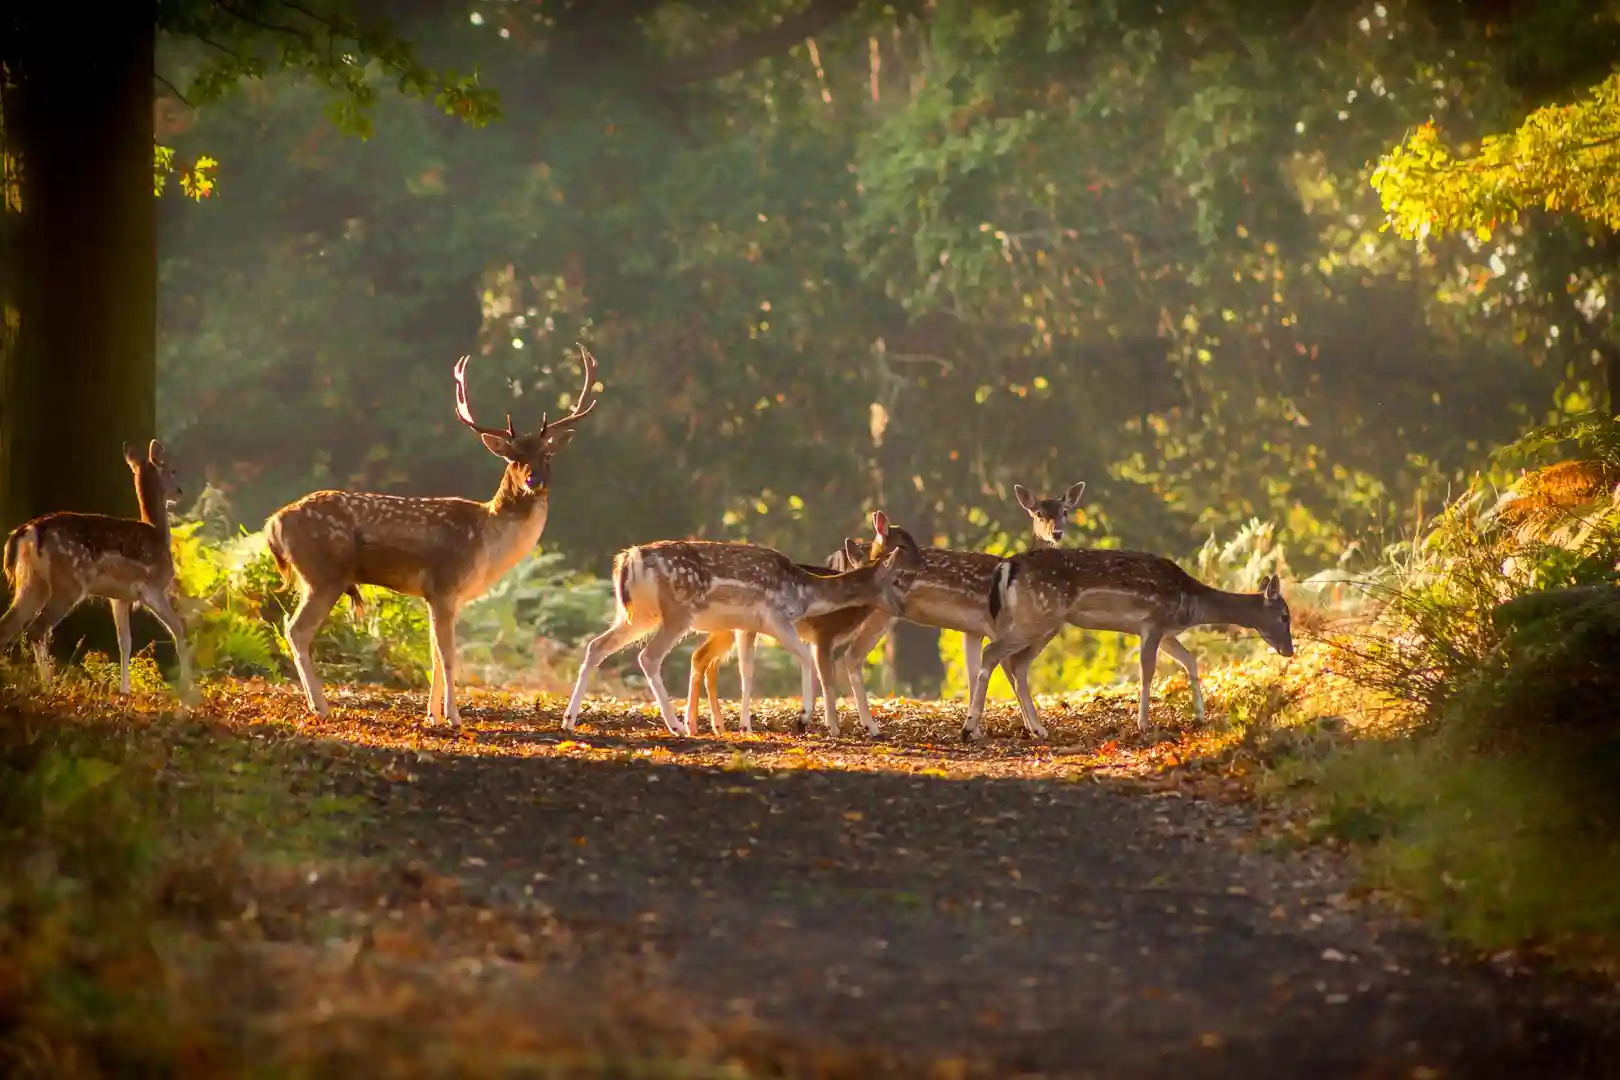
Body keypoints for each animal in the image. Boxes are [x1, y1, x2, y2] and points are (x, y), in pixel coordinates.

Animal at [0, 439, 193, 697]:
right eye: (172, 470)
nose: (179, 492)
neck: (160, 535)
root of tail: (29, 532)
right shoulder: (152, 589)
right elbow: (178, 628)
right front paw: (189, 689)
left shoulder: (119, 597)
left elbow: (125, 642)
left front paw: (124, 691)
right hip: (69, 582)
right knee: (38, 630)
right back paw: (49, 686)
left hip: (30, 582)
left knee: (6, 627)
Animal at [264, 346, 600, 726]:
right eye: (513, 458)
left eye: (547, 455)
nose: (534, 480)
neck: (488, 543)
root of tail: (274, 523)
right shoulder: (443, 586)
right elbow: (449, 656)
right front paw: (454, 716)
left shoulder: (442, 596)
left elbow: (436, 656)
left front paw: (433, 716)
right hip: (324, 574)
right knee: (296, 629)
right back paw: (320, 706)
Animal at [561, 514, 924, 738]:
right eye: (897, 577)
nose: (903, 608)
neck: (805, 592)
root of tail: (629, 558)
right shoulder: (778, 617)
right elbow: (806, 659)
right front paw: (803, 717)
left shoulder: (748, 626)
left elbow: (747, 671)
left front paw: (746, 726)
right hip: (678, 611)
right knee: (649, 657)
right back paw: (677, 726)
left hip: (638, 615)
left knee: (596, 646)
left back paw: (569, 720)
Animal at [964, 547, 1293, 741]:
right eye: (1284, 615)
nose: (1289, 651)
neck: (1192, 605)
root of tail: (1008, 566)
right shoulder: (1153, 623)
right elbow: (1147, 671)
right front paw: (1144, 724)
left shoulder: (1166, 631)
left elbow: (1190, 660)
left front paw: (1200, 716)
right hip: (1039, 616)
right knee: (994, 652)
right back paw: (970, 728)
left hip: (1042, 621)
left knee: (1016, 663)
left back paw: (1038, 729)